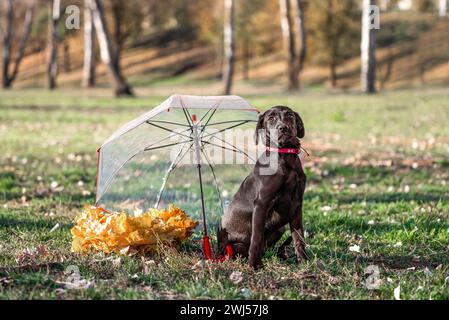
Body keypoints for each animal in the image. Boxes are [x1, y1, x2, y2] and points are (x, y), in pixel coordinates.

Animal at [216, 105, 306, 270]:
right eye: (271, 118)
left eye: (290, 115)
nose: (283, 128)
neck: (284, 156)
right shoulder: (261, 204)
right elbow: (256, 237)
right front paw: (254, 265)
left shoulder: (297, 204)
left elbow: (299, 237)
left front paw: (304, 261)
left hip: (280, 228)